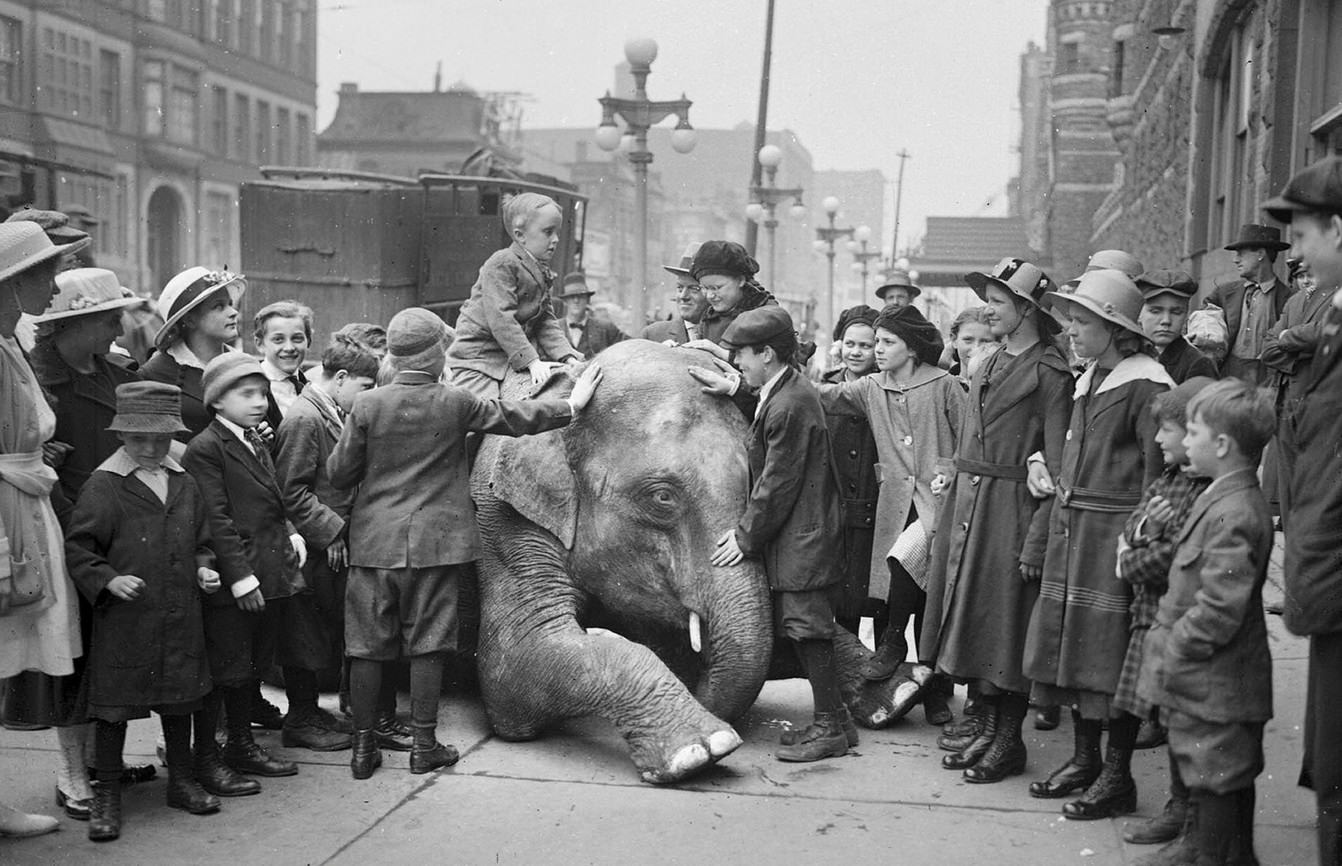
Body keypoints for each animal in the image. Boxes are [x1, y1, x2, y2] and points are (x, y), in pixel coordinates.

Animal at [475, 339, 934, 784]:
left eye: (756, 480)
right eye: (662, 497)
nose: (696, 685)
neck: (578, 372)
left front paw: (903, 691)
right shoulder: (501, 524)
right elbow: (513, 667)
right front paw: (702, 747)